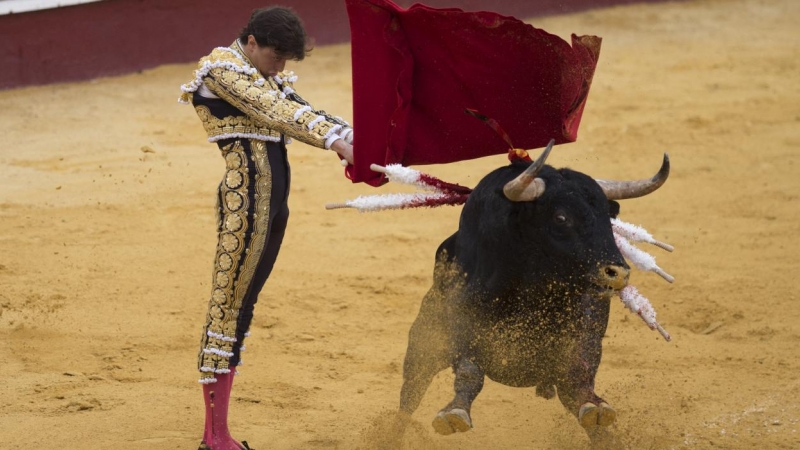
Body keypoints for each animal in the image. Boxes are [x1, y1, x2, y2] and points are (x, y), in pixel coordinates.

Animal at [398, 143, 668, 440]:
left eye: (609, 219)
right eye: (561, 217)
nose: (617, 272)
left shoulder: (584, 334)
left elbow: (579, 376)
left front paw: (595, 407)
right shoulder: (464, 329)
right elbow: (469, 373)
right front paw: (453, 414)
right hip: (425, 340)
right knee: (410, 394)